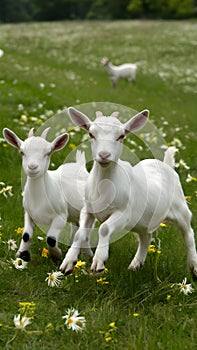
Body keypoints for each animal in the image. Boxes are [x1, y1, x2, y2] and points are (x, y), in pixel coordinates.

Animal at [3, 128, 89, 262]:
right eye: (22, 152)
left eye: (48, 153)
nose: (32, 167)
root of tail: (79, 165)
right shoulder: (29, 213)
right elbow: (26, 235)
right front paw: (23, 254)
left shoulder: (60, 216)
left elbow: (51, 239)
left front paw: (57, 255)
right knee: (76, 226)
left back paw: (86, 254)